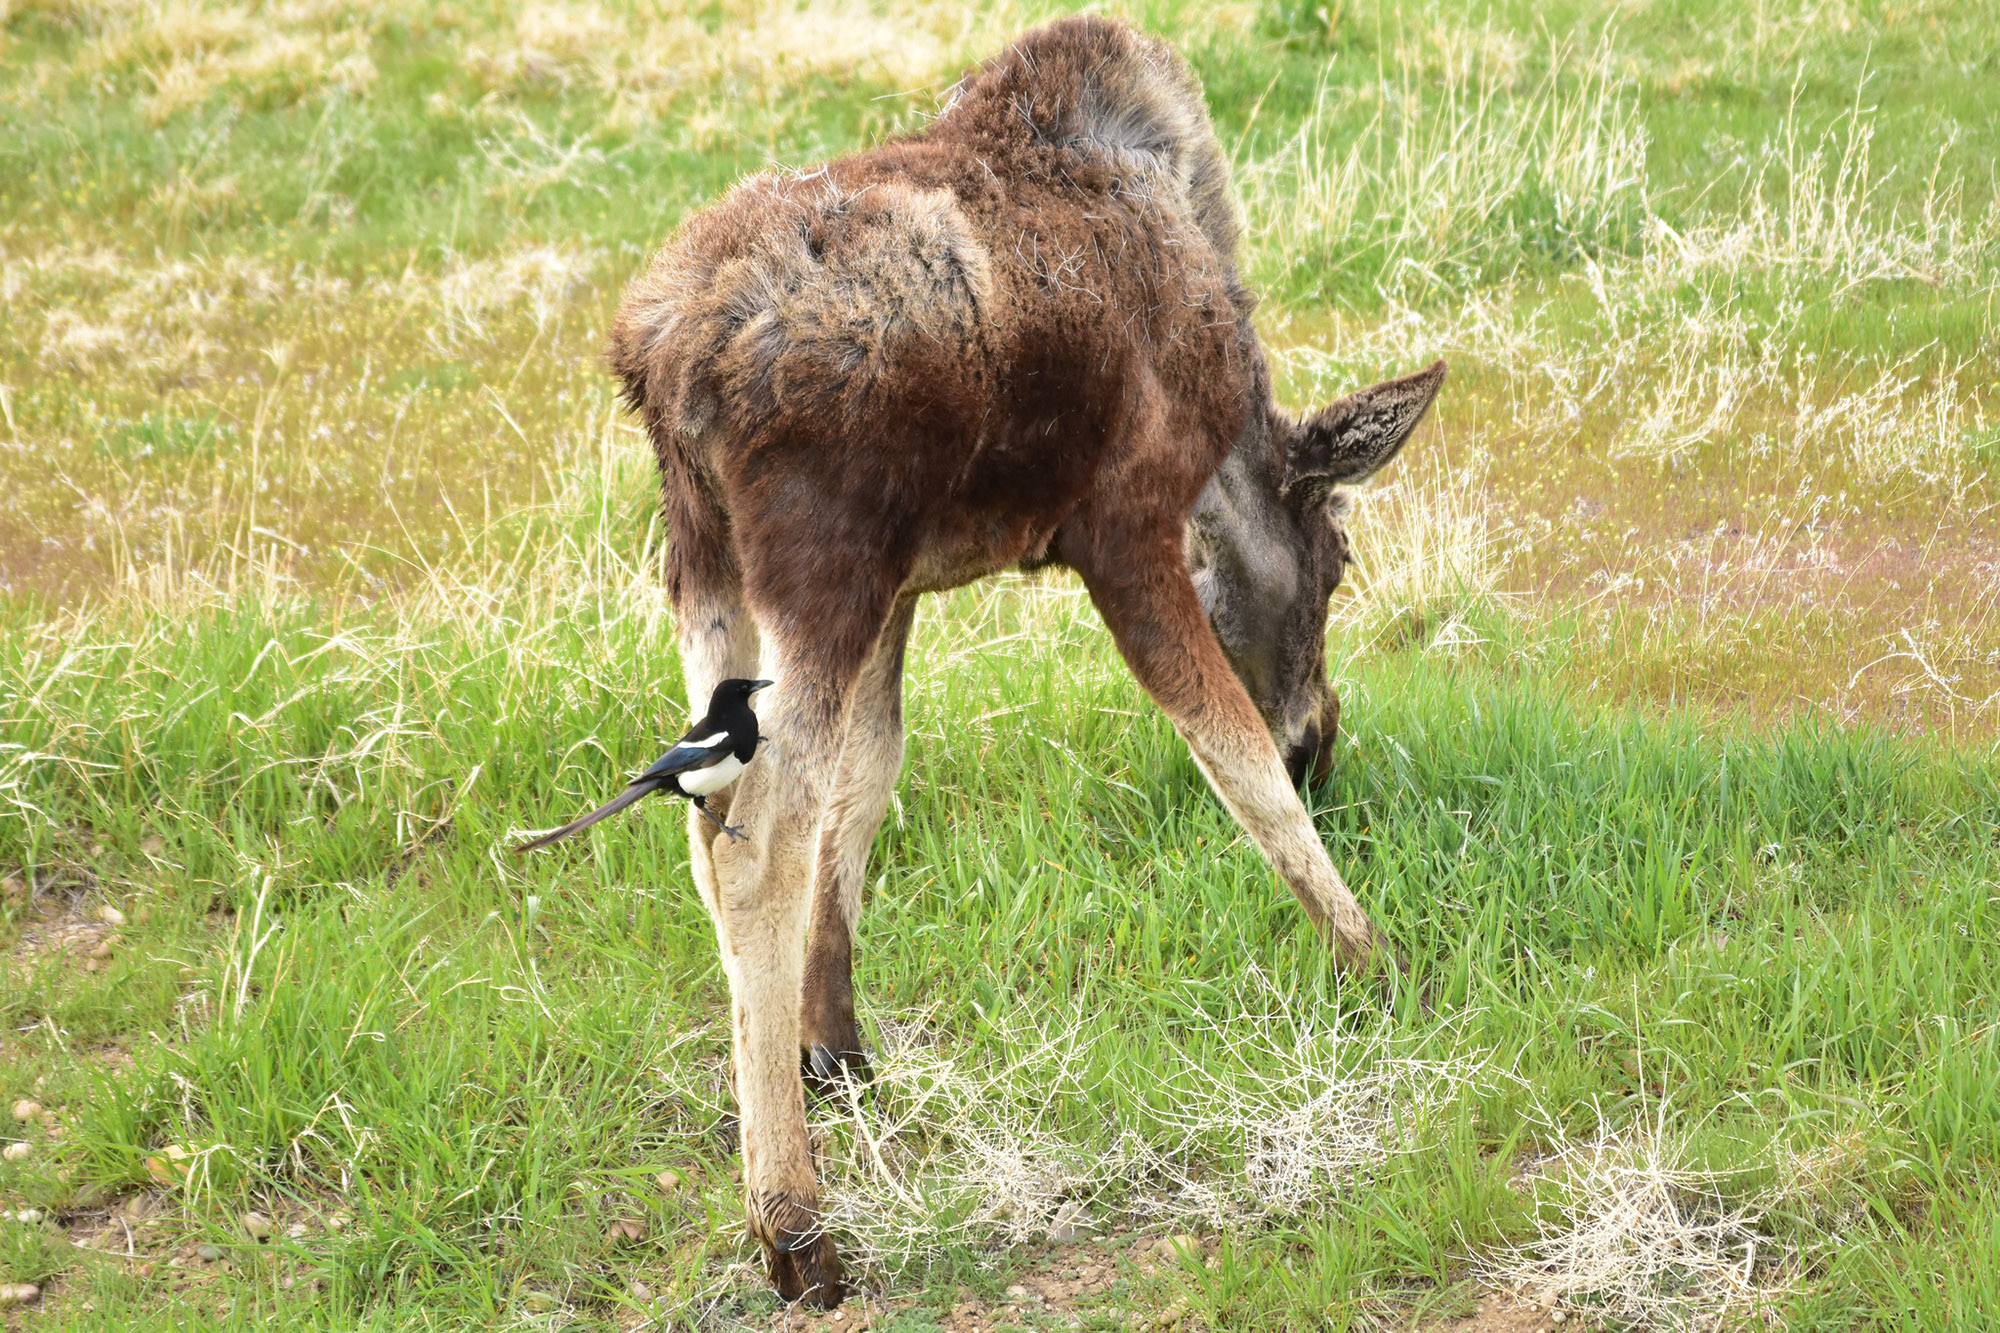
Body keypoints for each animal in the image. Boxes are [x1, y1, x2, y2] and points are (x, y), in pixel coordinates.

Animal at [604, 16, 1445, 1307]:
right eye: (1340, 556)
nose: (1323, 738)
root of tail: (661, 356)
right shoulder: (1123, 525)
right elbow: (1231, 762)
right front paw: (1371, 960)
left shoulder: (904, 588)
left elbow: (869, 787)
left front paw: (834, 1043)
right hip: (816, 558)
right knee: (754, 843)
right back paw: (793, 1227)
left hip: (707, 565)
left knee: (709, 816)